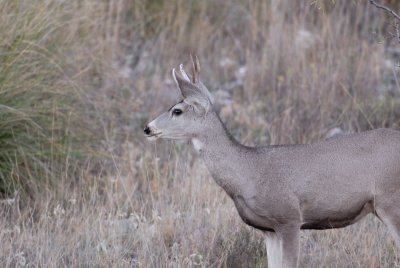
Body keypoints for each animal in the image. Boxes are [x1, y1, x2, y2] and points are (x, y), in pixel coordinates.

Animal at [144, 57, 400, 268]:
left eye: (177, 110)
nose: (147, 128)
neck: (248, 173)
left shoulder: (290, 218)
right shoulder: (269, 229)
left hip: (390, 201)